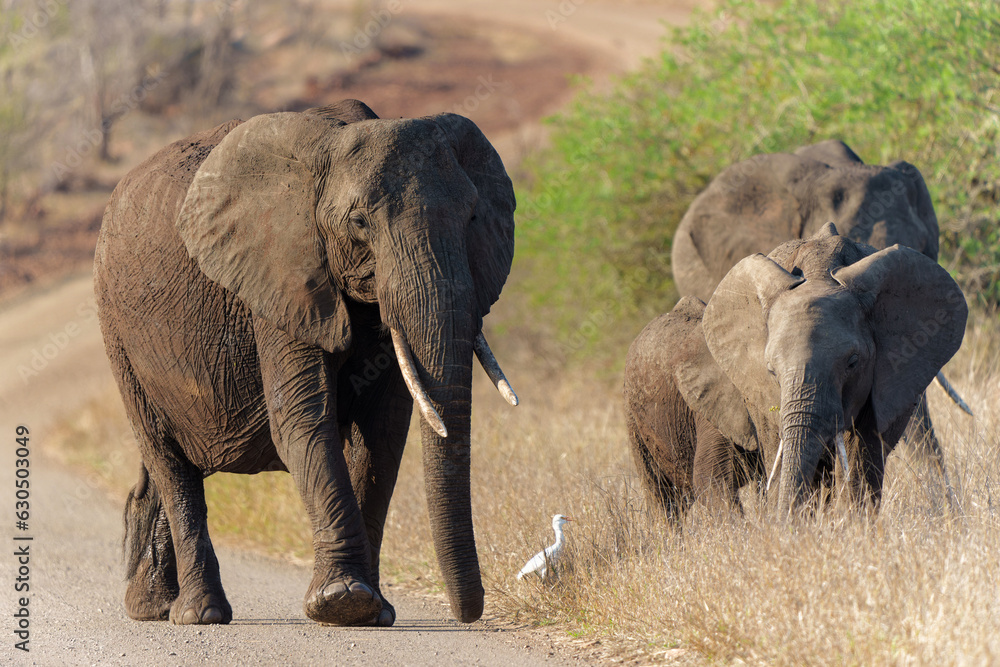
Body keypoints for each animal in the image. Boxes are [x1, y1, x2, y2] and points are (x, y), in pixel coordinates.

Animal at [94, 99, 518, 627]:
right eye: (359, 223)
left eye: (473, 216)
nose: (469, 613)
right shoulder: (279, 275)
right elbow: (302, 418)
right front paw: (343, 601)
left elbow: (382, 430)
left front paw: (374, 612)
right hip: (117, 331)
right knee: (169, 459)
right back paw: (199, 614)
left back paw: (150, 606)